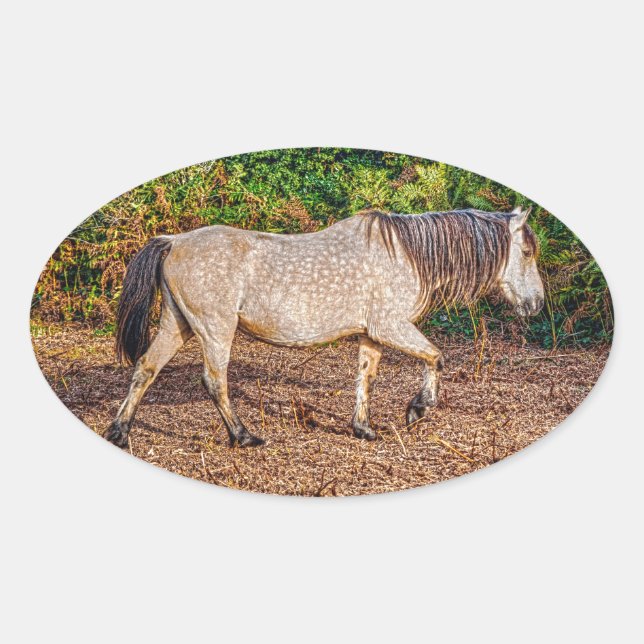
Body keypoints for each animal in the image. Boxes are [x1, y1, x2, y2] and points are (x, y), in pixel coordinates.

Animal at [105, 206, 544, 448]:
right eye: (525, 251)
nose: (536, 304)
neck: (406, 255)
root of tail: (174, 241)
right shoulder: (391, 326)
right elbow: (436, 358)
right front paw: (418, 409)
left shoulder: (371, 335)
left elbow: (366, 379)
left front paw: (363, 428)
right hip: (215, 329)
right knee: (215, 382)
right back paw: (244, 436)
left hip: (178, 324)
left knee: (145, 368)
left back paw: (120, 433)